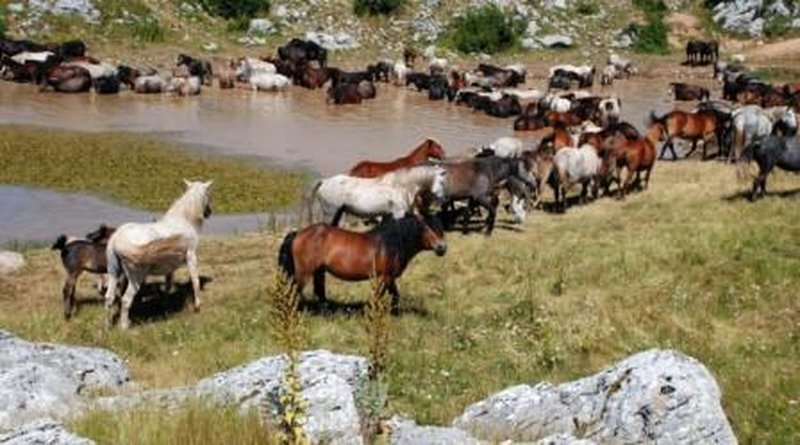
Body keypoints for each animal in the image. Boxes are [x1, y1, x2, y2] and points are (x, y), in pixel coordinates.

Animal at [104, 179, 214, 328]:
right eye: (207, 194)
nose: (209, 212)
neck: (183, 220)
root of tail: (116, 239)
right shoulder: (191, 256)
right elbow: (195, 280)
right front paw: (197, 306)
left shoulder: (170, 265)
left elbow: (168, 284)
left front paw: (165, 305)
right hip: (135, 278)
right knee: (126, 300)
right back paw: (125, 326)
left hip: (114, 273)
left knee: (109, 298)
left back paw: (107, 327)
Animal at [278, 213, 446, 310]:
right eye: (426, 227)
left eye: (440, 228)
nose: (442, 247)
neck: (389, 243)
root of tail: (298, 233)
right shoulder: (384, 277)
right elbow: (383, 297)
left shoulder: (388, 278)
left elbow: (394, 297)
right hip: (303, 272)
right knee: (295, 291)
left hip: (318, 271)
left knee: (319, 292)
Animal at [306, 164, 446, 224]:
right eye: (442, 182)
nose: (444, 199)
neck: (400, 186)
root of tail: (325, 181)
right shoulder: (398, 214)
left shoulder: (387, 215)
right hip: (330, 213)